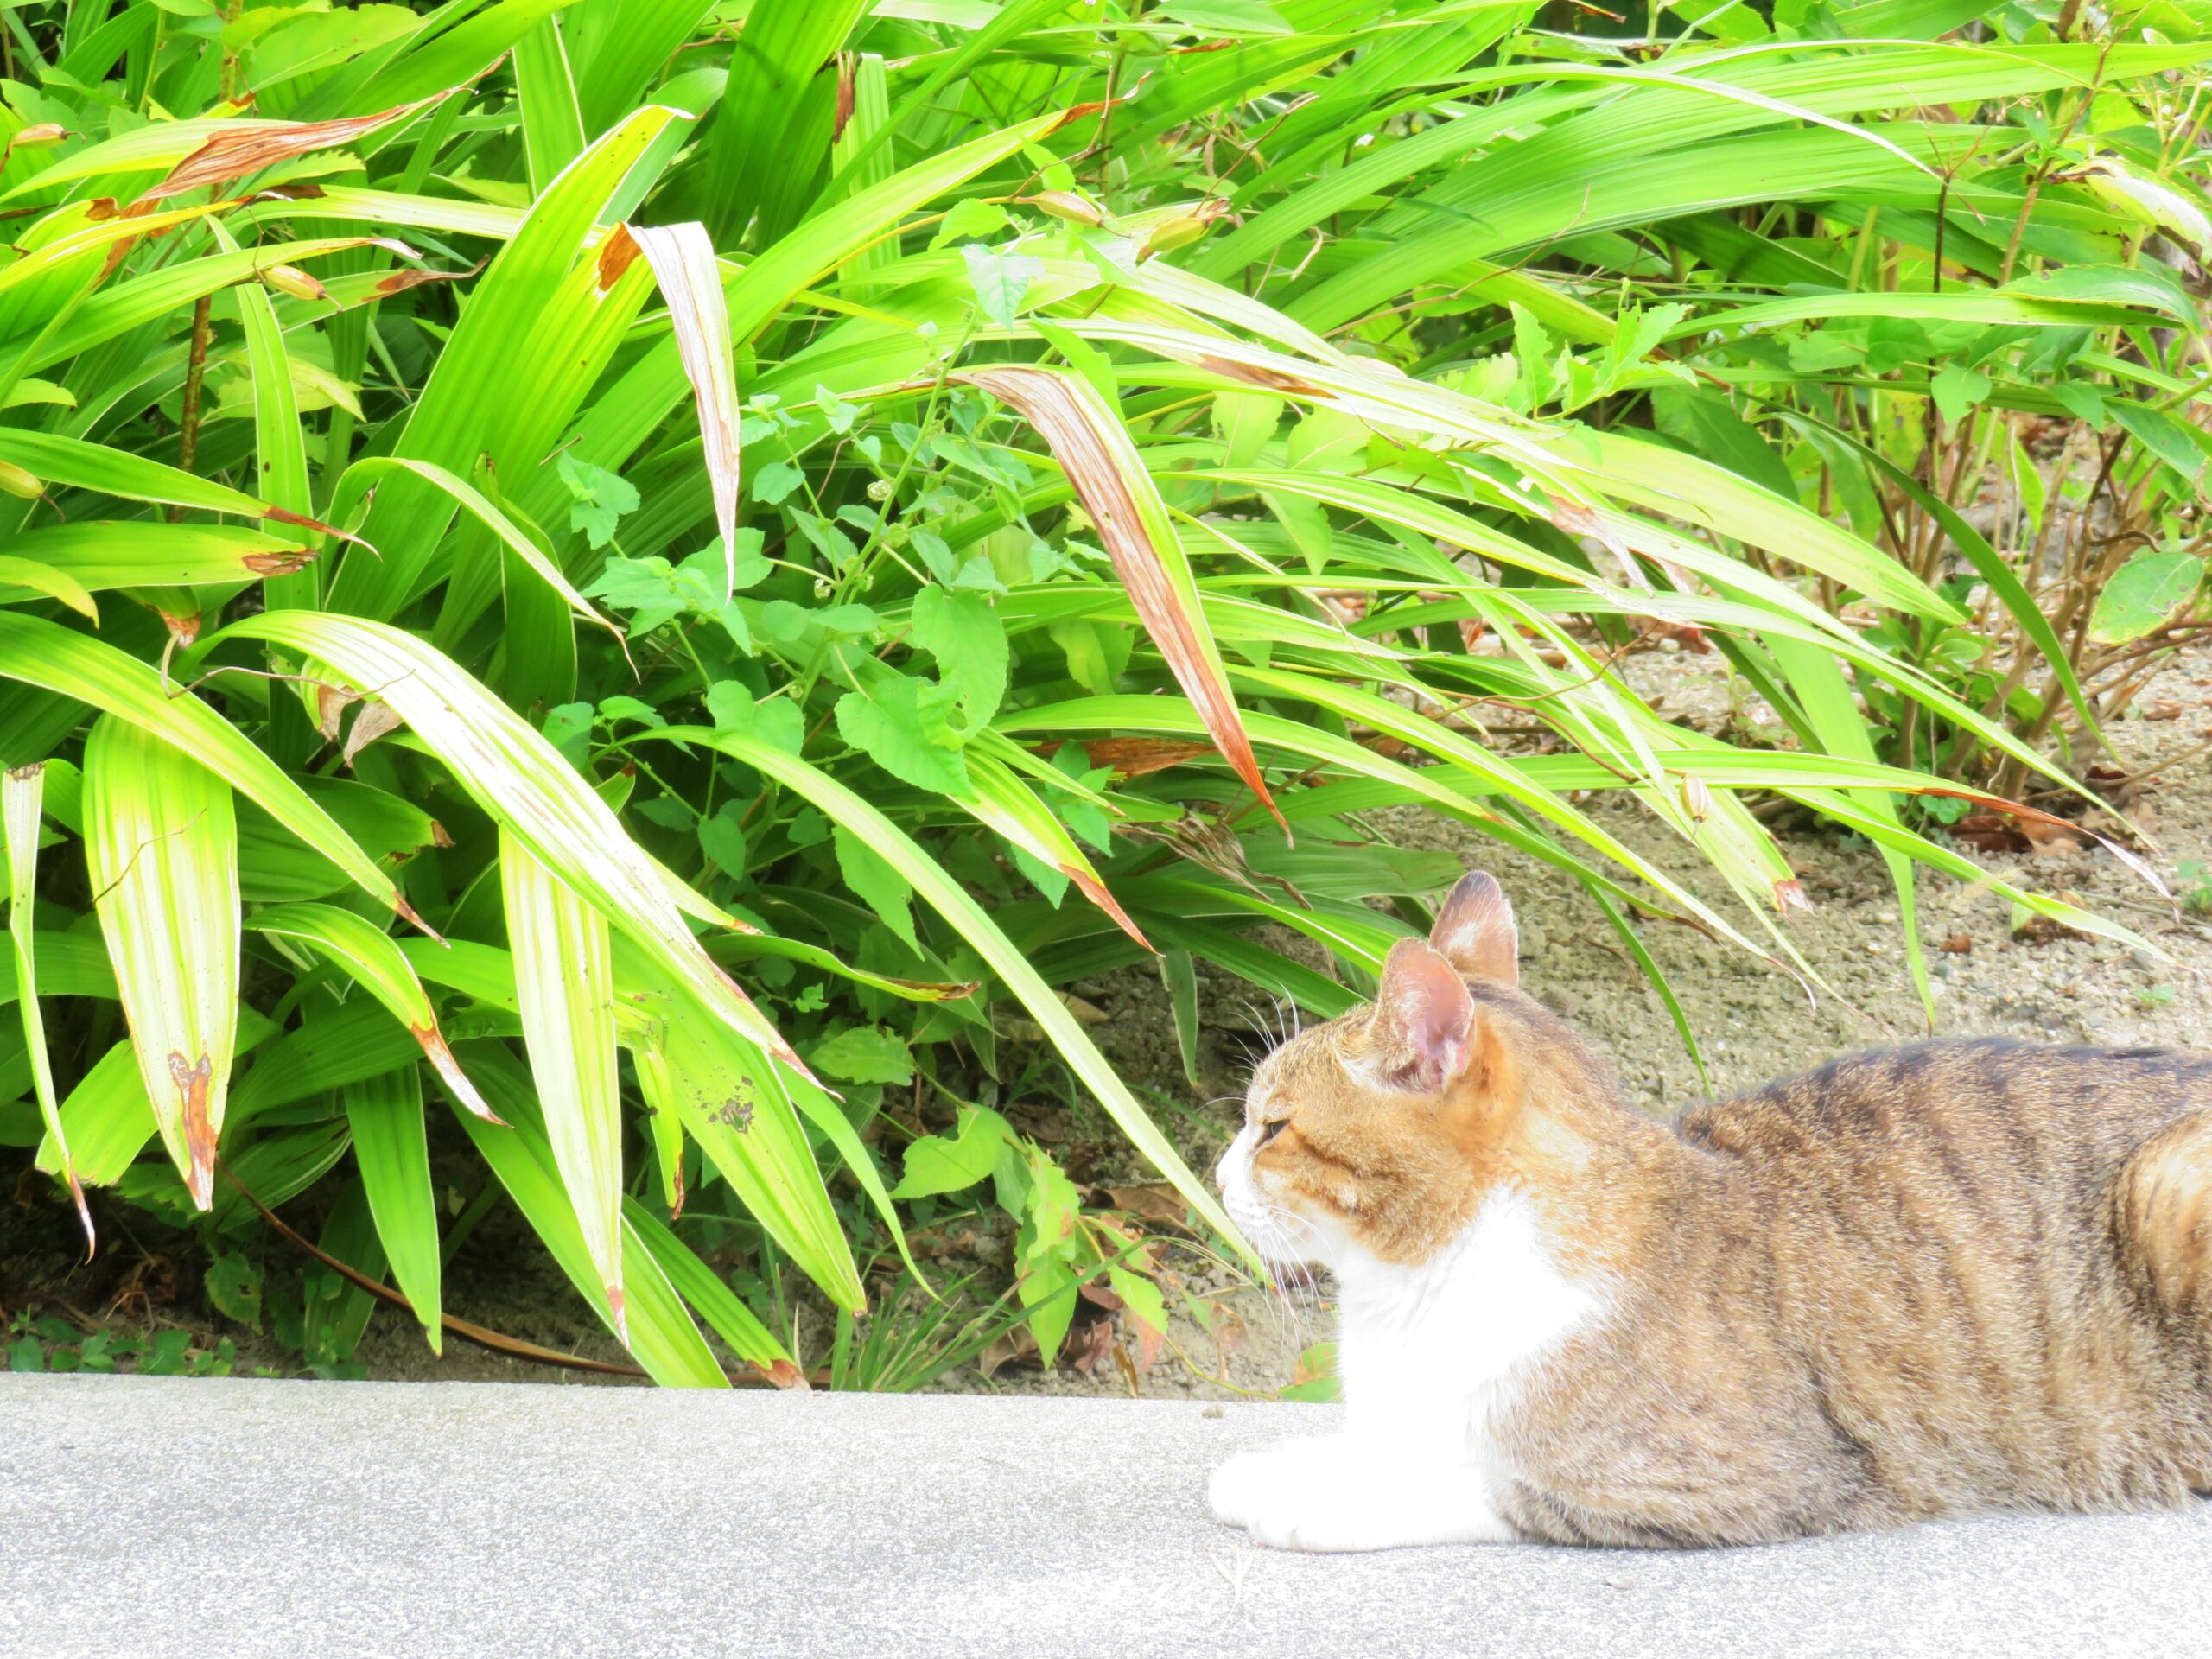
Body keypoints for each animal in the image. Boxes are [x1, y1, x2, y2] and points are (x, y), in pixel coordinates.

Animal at [1211, 875, 2212, 1557]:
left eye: (1273, 1128)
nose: (1215, 1177)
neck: (1411, 1293)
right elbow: (1372, 1442)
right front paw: (1287, 1464)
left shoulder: (1735, 1475)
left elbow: (1483, 1481)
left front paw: (1312, 1499)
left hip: (2166, 1186)